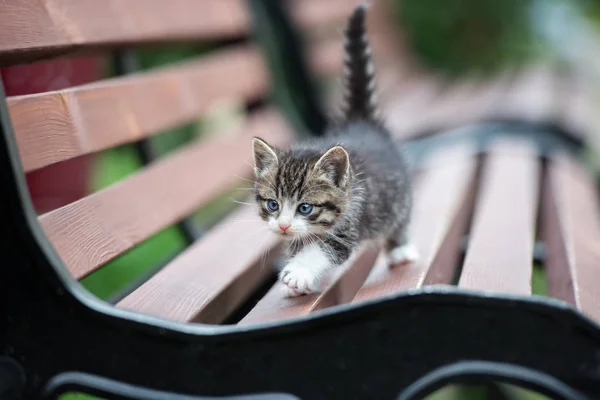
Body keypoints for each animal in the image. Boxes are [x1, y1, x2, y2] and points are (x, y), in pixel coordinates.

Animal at [250, 3, 418, 296]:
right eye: (273, 204)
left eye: (305, 208)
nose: (283, 224)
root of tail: (361, 122)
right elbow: (301, 244)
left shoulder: (350, 221)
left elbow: (323, 249)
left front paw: (299, 271)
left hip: (399, 198)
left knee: (400, 218)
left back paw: (400, 249)